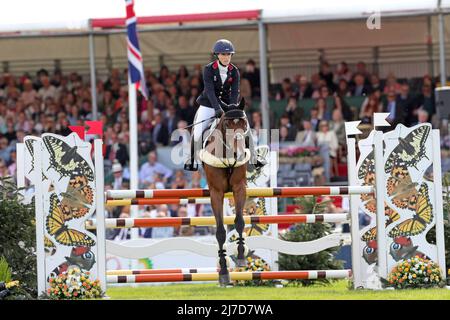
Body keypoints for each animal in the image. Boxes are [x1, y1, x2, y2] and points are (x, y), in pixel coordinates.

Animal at [199, 99, 251, 286]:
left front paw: (241, 256)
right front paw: (223, 272)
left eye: (244, 123)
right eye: (227, 124)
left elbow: (240, 222)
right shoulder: (216, 193)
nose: (239, 153)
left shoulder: (239, 188)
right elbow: (221, 232)